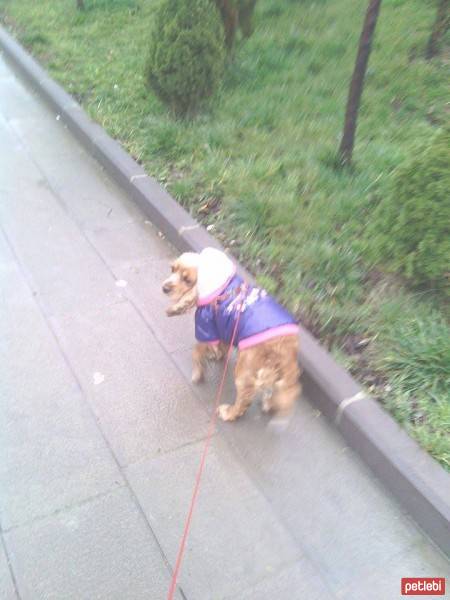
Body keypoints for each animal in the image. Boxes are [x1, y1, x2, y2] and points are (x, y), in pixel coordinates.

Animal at [163, 246, 302, 420]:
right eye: (172, 269)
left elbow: (197, 352)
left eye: (187, 280)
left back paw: (228, 412)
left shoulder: (206, 328)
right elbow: (221, 346)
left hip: (244, 369)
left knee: (245, 398)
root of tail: (287, 346)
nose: (165, 288)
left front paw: (198, 373)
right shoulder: (223, 326)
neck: (220, 287)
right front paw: (215, 355)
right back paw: (268, 404)